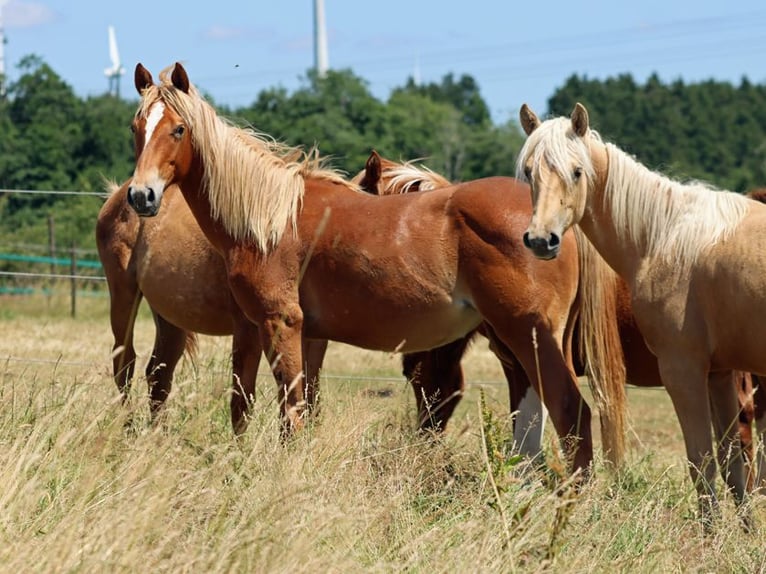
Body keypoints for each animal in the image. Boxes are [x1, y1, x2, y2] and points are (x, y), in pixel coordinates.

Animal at [96, 178, 329, 434]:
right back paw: (128, 430)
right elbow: (244, 398)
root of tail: (118, 193)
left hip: (171, 319)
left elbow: (310, 394)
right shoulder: (249, 328)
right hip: (124, 299)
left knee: (159, 376)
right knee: (124, 364)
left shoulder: (312, 338)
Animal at [125, 62, 628, 476]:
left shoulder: (280, 324)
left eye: (178, 129)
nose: (140, 195)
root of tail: (553, 223)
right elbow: (254, 404)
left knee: (571, 413)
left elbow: (290, 409)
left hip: (530, 336)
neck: (268, 218)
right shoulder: (272, 330)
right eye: (137, 127)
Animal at [517, 101, 761, 527]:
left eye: (576, 172)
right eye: (530, 170)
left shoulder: (683, 372)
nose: (541, 240)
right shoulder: (718, 374)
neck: (664, 237)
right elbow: (732, 462)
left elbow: (702, 462)